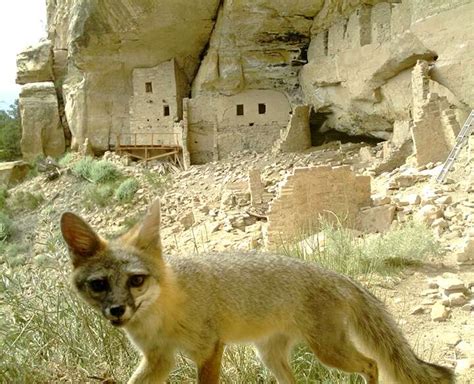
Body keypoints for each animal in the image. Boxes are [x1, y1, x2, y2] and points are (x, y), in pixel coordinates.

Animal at [60, 200, 456, 382]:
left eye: (136, 281)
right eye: (99, 285)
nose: (117, 311)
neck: (160, 316)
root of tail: (337, 276)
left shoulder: (208, 349)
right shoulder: (159, 359)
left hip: (329, 352)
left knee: (371, 364)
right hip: (272, 357)